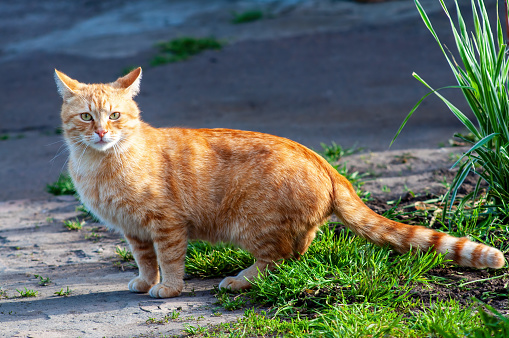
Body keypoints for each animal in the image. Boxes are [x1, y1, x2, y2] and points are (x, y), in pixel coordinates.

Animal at [54, 66, 504, 298]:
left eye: (115, 116)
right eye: (86, 117)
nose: (101, 132)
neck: (100, 165)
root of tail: (328, 164)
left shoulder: (165, 224)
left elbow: (170, 260)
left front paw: (169, 288)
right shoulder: (133, 230)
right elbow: (146, 260)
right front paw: (146, 282)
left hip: (253, 224)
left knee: (278, 260)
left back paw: (239, 279)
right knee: (299, 251)